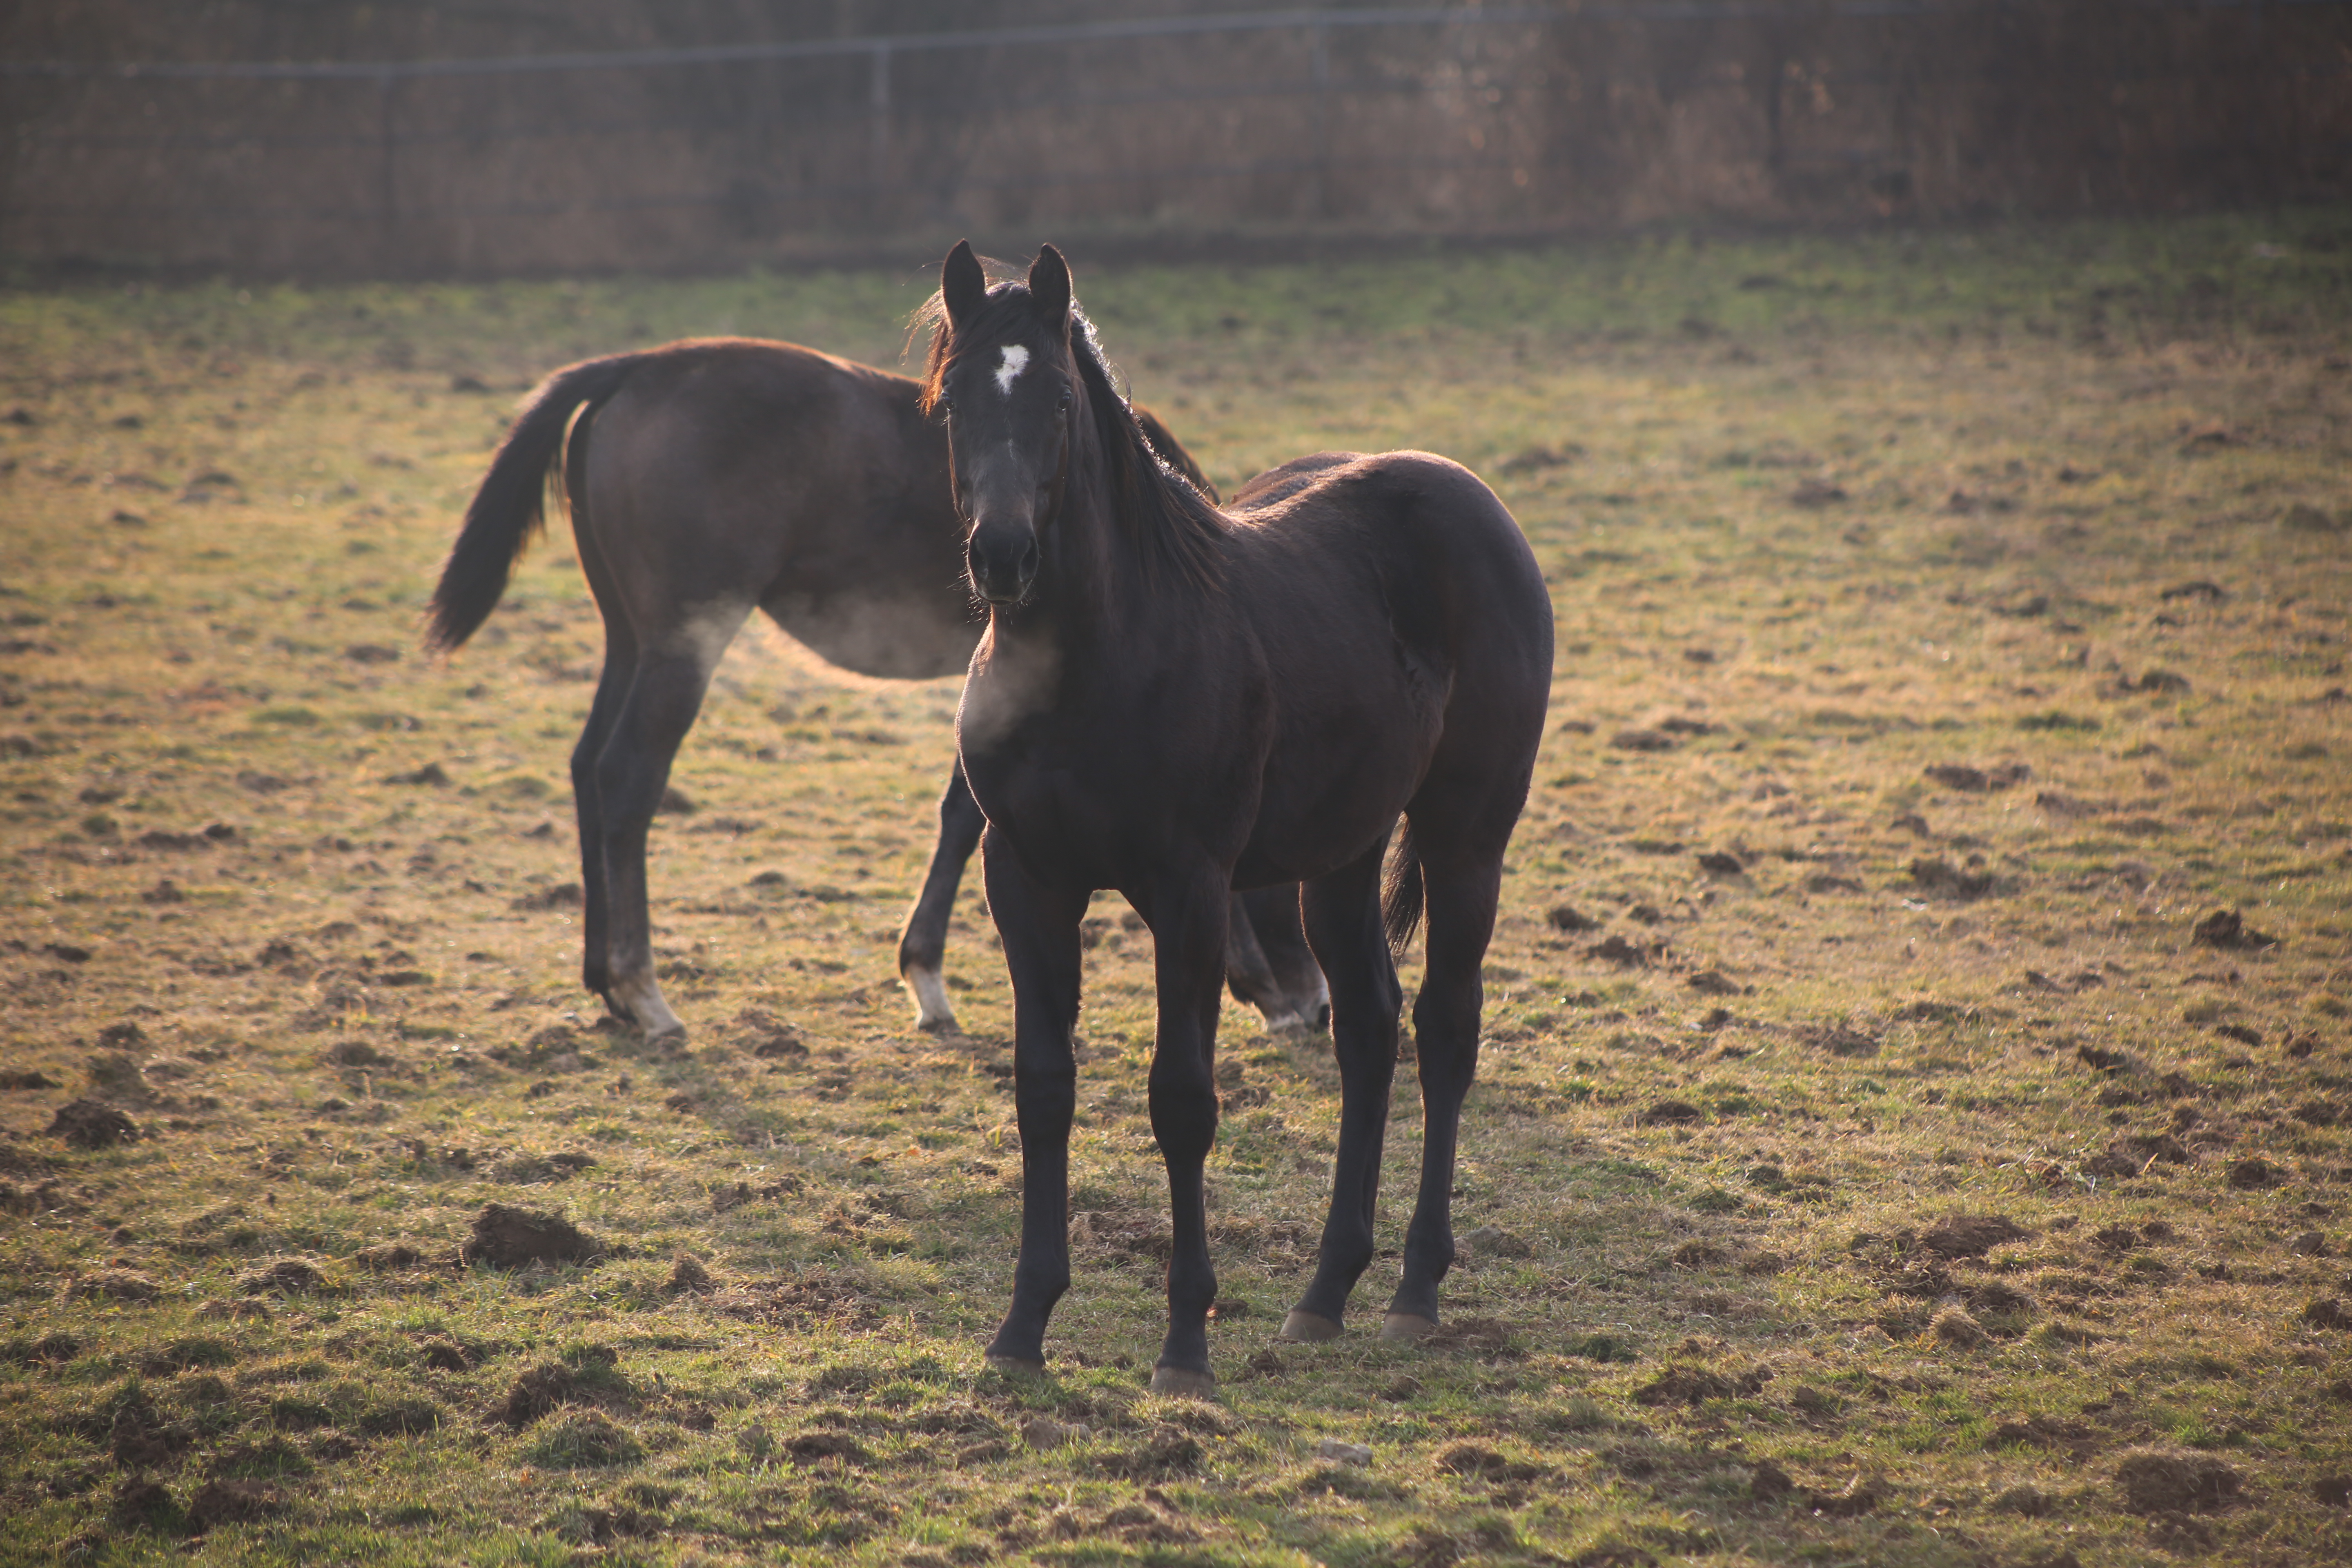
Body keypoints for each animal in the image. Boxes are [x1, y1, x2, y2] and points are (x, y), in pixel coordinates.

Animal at [428, 334, 1326, 1044]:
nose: (1315, 1003)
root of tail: (636, 370)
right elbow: (968, 817)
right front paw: (926, 975)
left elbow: (964, 814)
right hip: (683, 644)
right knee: (625, 780)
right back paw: (641, 988)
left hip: (630, 640)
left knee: (586, 768)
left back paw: (602, 983)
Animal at [927, 248, 1552, 1401]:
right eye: (953, 402)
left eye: (1059, 399)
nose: (1002, 556)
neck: (1101, 656)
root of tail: (1470, 497)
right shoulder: (1024, 879)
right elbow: (1044, 1088)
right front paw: (1022, 1327)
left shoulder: (1189, 890)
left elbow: (1181, 1099)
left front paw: (1184, 1343)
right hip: (1340, 859)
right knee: (1369, 1030)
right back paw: (1325, 1292)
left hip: (1465, 839)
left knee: (1445, 1029)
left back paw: (1413, 1289)